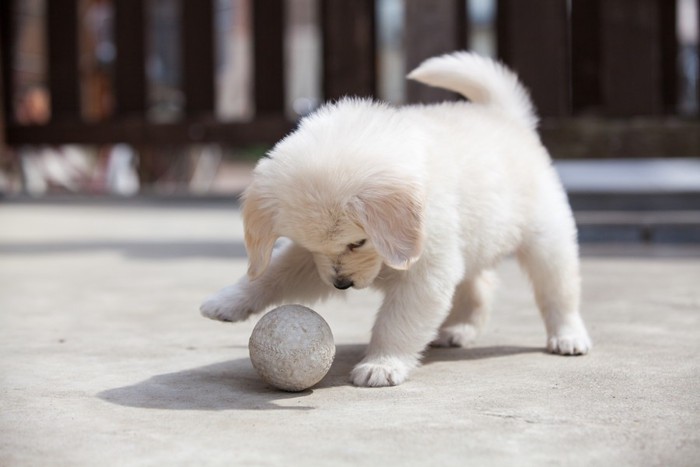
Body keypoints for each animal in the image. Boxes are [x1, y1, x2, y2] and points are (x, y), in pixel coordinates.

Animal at [201, 51, 592, 388]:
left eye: (358, 242)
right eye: (312, 245)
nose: (341, 285)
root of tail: (506, 117)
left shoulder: (425, 272)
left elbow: (396, 323)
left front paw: (382, 364)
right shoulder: (311, 260)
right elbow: (273, 274)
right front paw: (227, 302)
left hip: (547, 239)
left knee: (558, 291)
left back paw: (568, 336)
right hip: (475, 241)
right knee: (479, 285)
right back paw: (460, 330)